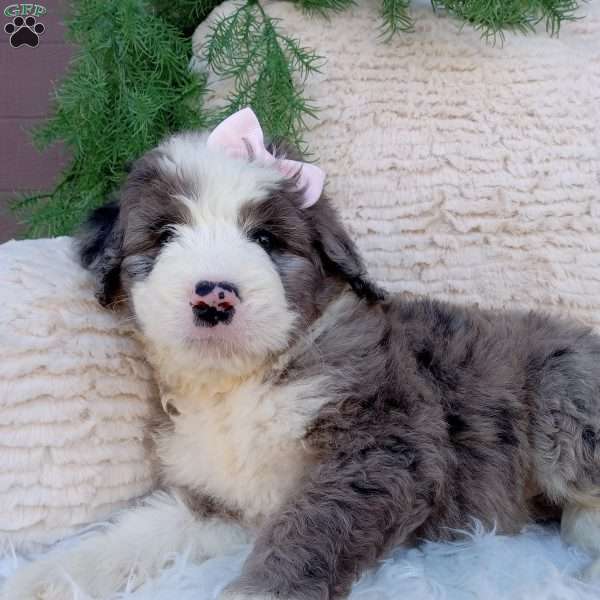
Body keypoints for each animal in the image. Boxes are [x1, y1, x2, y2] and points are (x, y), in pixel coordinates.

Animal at [4, 109, 600, 600]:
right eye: (166, 234)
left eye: (266, 240)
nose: (214, 296)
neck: (238, 385)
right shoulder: (219, 501)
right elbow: (134, 536)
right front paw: (41, 579)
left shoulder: (384, 448)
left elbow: (312, 528)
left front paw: (257, 594)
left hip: (563, 398)